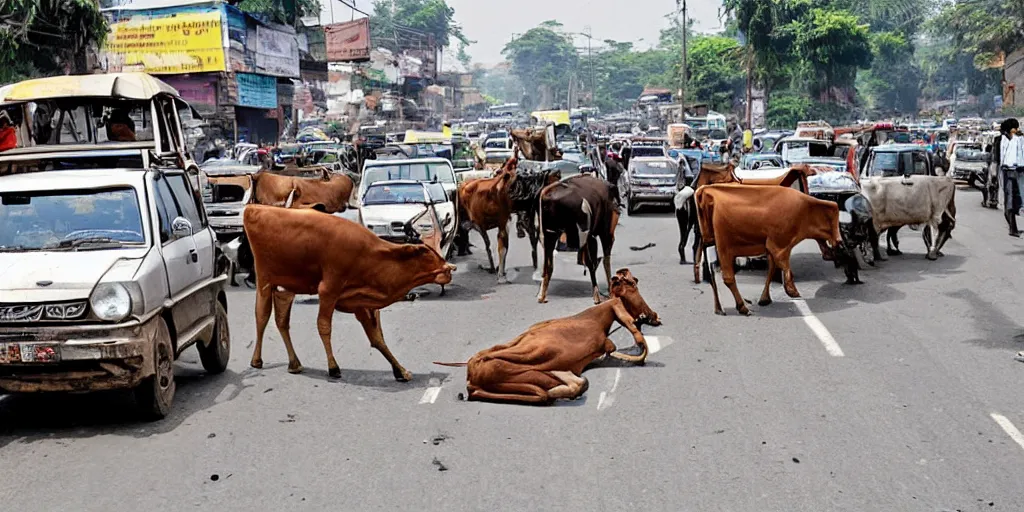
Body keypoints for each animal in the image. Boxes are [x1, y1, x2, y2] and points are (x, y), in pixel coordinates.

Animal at [241, 203, 454, 380]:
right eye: (425, 252)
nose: (449, 269)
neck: (370, 255)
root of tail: (253, 208)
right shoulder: (328, 290)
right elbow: (324, 326)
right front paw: (333, 367)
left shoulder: (359, 301)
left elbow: (377, 338)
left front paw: (400, 370)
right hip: (264, 281)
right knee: (262, 317)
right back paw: (256, 360)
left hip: (285, 289)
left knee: (282, 321)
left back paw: (294, 363)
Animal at [696, 184, 856, 315]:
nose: (843, 250)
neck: (807, 210)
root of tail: (706, 191)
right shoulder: (779, 244)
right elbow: (783, 265)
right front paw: (792, 290)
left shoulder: (772, 246)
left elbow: (772, 270)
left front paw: (765, 299)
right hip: (724, 247)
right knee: (728, 278)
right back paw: (742, 307)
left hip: (709, 244)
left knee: (711, 277)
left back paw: (719, 308)